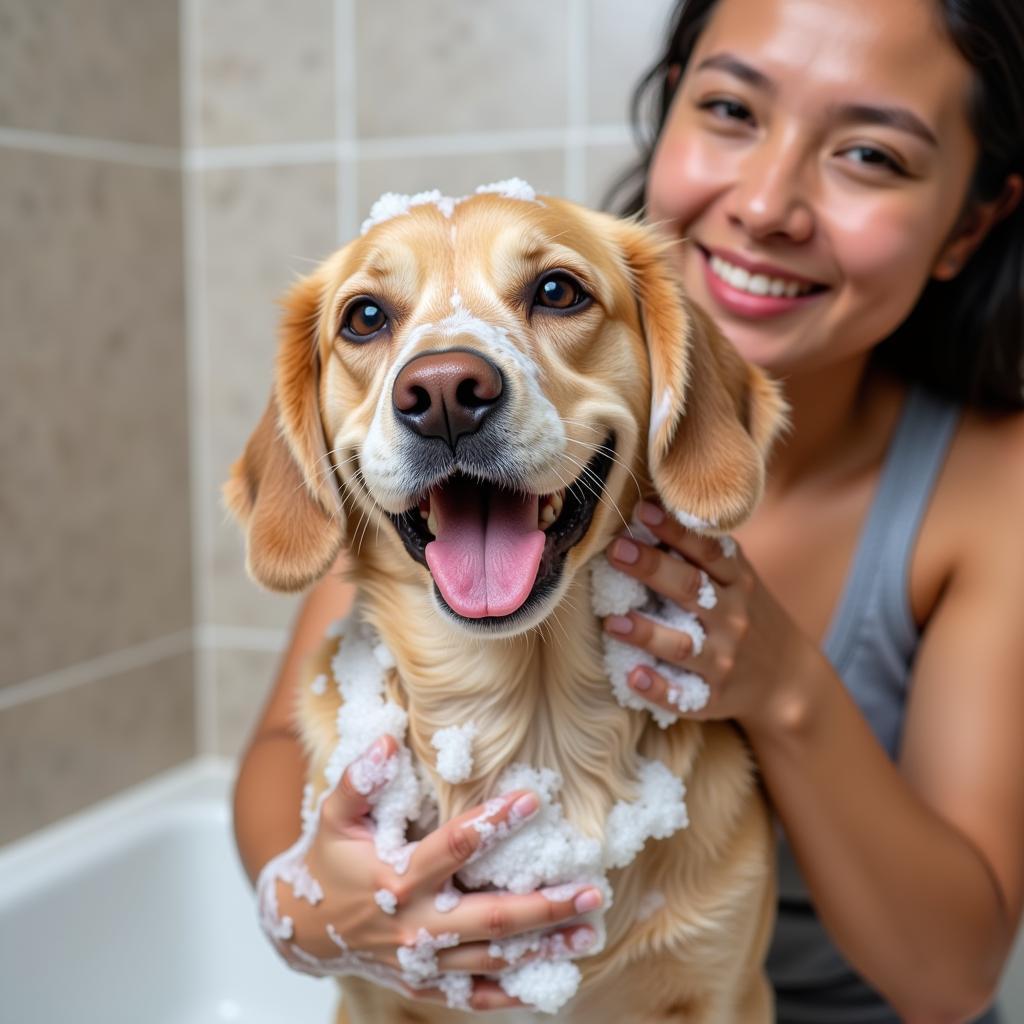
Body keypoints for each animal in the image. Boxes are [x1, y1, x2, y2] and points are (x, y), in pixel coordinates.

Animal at [224, 180, 782, 1019]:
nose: (444, 392)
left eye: (557, 291)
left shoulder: (726, 985)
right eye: (365, 317)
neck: (532, 731)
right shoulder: (373, 996)